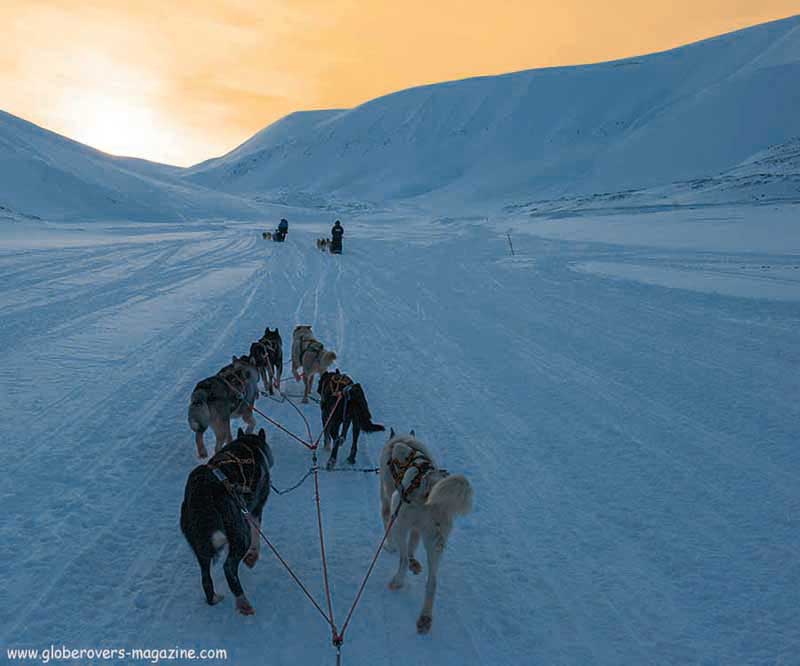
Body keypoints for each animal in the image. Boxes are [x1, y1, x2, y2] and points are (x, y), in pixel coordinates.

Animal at [180, 428, 274, 616]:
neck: (249, 444)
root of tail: (203, 490)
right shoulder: (255, 510)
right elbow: (256, 535)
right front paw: (253, 556)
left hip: (200, 545)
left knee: (205, 578)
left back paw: (214, 598)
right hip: (240, 534)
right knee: (229, 568)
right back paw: (243, 602)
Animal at [378, 430, 472, 632]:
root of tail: (429, 483)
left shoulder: (388, 502)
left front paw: (389, 546)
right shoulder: (417, 529)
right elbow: (414, 543)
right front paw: (415, 562)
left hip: (398, 515)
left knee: (403, 558)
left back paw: (398, 580)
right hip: (435, 542)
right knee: (432, 582)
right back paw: (425, 617)